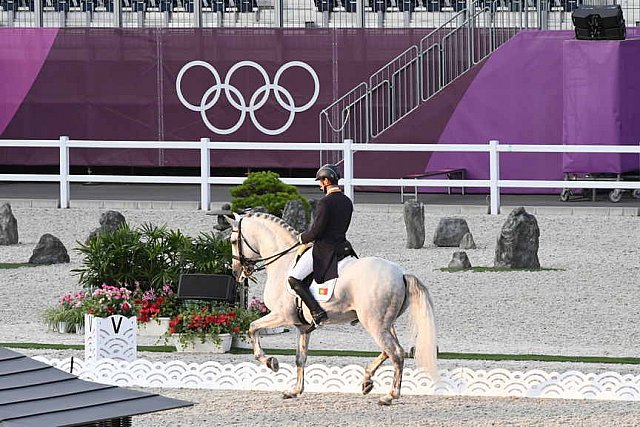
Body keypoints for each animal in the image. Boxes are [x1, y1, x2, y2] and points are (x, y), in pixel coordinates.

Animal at [230, 212, 440, 406]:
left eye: (233, 241)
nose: (236, 271)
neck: (284, 262)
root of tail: (402, 274)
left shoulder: (282, 316)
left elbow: (252, 328)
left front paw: (270, 362)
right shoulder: (302, 327)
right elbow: (300, 358)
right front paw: (295, 390)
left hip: (375, 324)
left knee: (396, 352)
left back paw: (389, 396)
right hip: (386, 323)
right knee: (391, 351)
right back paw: (367, 381)